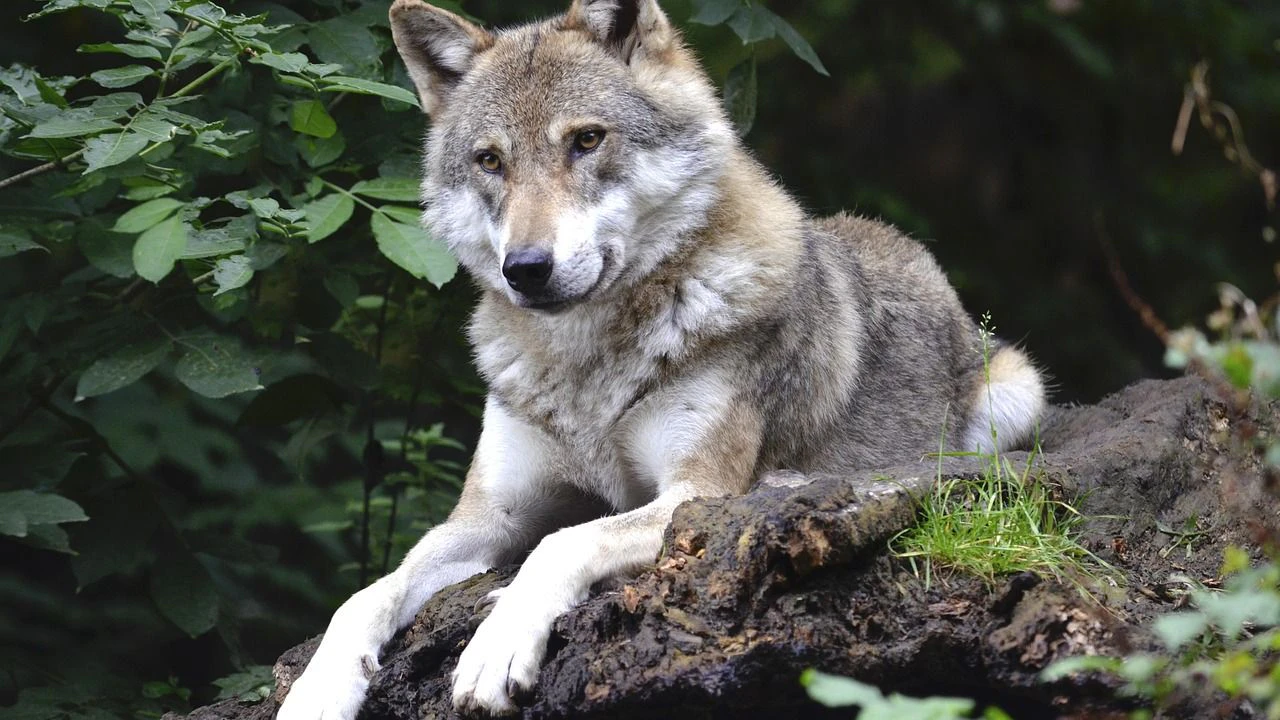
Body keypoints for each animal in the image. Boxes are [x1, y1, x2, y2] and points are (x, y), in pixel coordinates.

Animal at [277, 0, 1047, 716]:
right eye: (490, 161)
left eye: (587, 140)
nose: (526, 269)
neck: (587, 367)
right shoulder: (487, 518)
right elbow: (368, 591)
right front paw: (318, 689)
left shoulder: (694, 494)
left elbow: (563, 543)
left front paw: (496, 646)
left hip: (1014, 395)